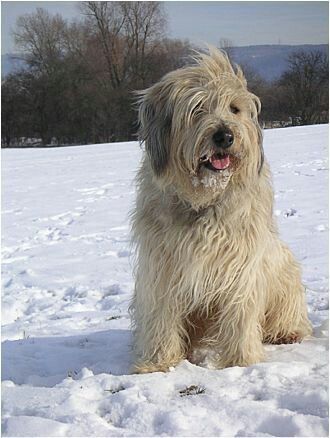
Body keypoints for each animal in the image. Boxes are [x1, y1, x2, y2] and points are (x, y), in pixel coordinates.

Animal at [130, 47, 312, 372]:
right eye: (198, 108)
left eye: (234, 109)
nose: (225, 136)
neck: (203, 201)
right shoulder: (161, 267)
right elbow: (162, 314)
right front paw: (158, 363)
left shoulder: (241, 264)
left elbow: (240, 311)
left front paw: (240, 361)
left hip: (285, 275)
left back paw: (287, 332)